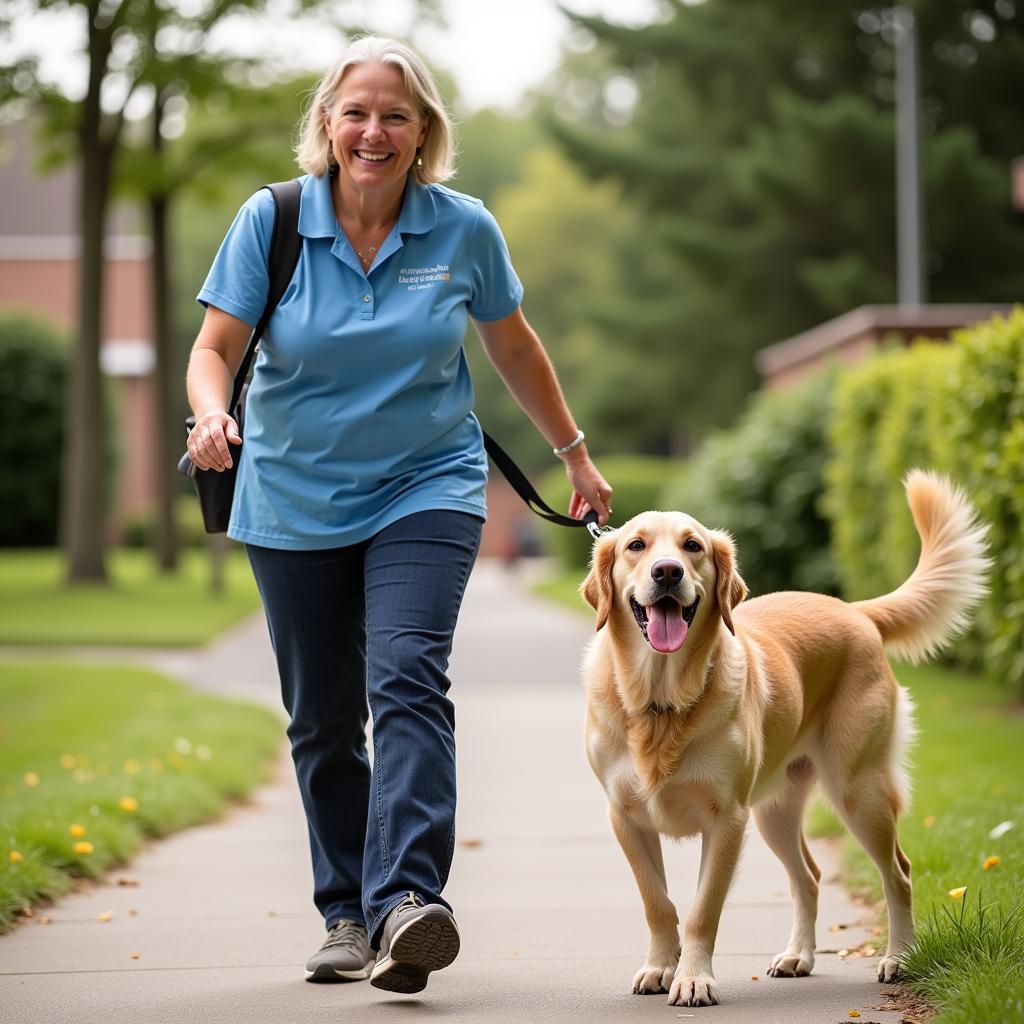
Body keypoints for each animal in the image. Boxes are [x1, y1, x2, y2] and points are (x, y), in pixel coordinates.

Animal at [581, 471, 987, 1007]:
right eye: (636, 546)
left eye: (692, 546)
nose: (667, 572)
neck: (661, 702)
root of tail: (854, 611)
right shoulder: (626, 818)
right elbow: (658, 903)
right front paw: (660, 968)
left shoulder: (727, 820)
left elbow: (702, 909)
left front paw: (694, 978)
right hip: (775, 811)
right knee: (809, 878)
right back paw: (799, 956)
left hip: (858, 791)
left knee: (898, 873)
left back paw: (899, 958)